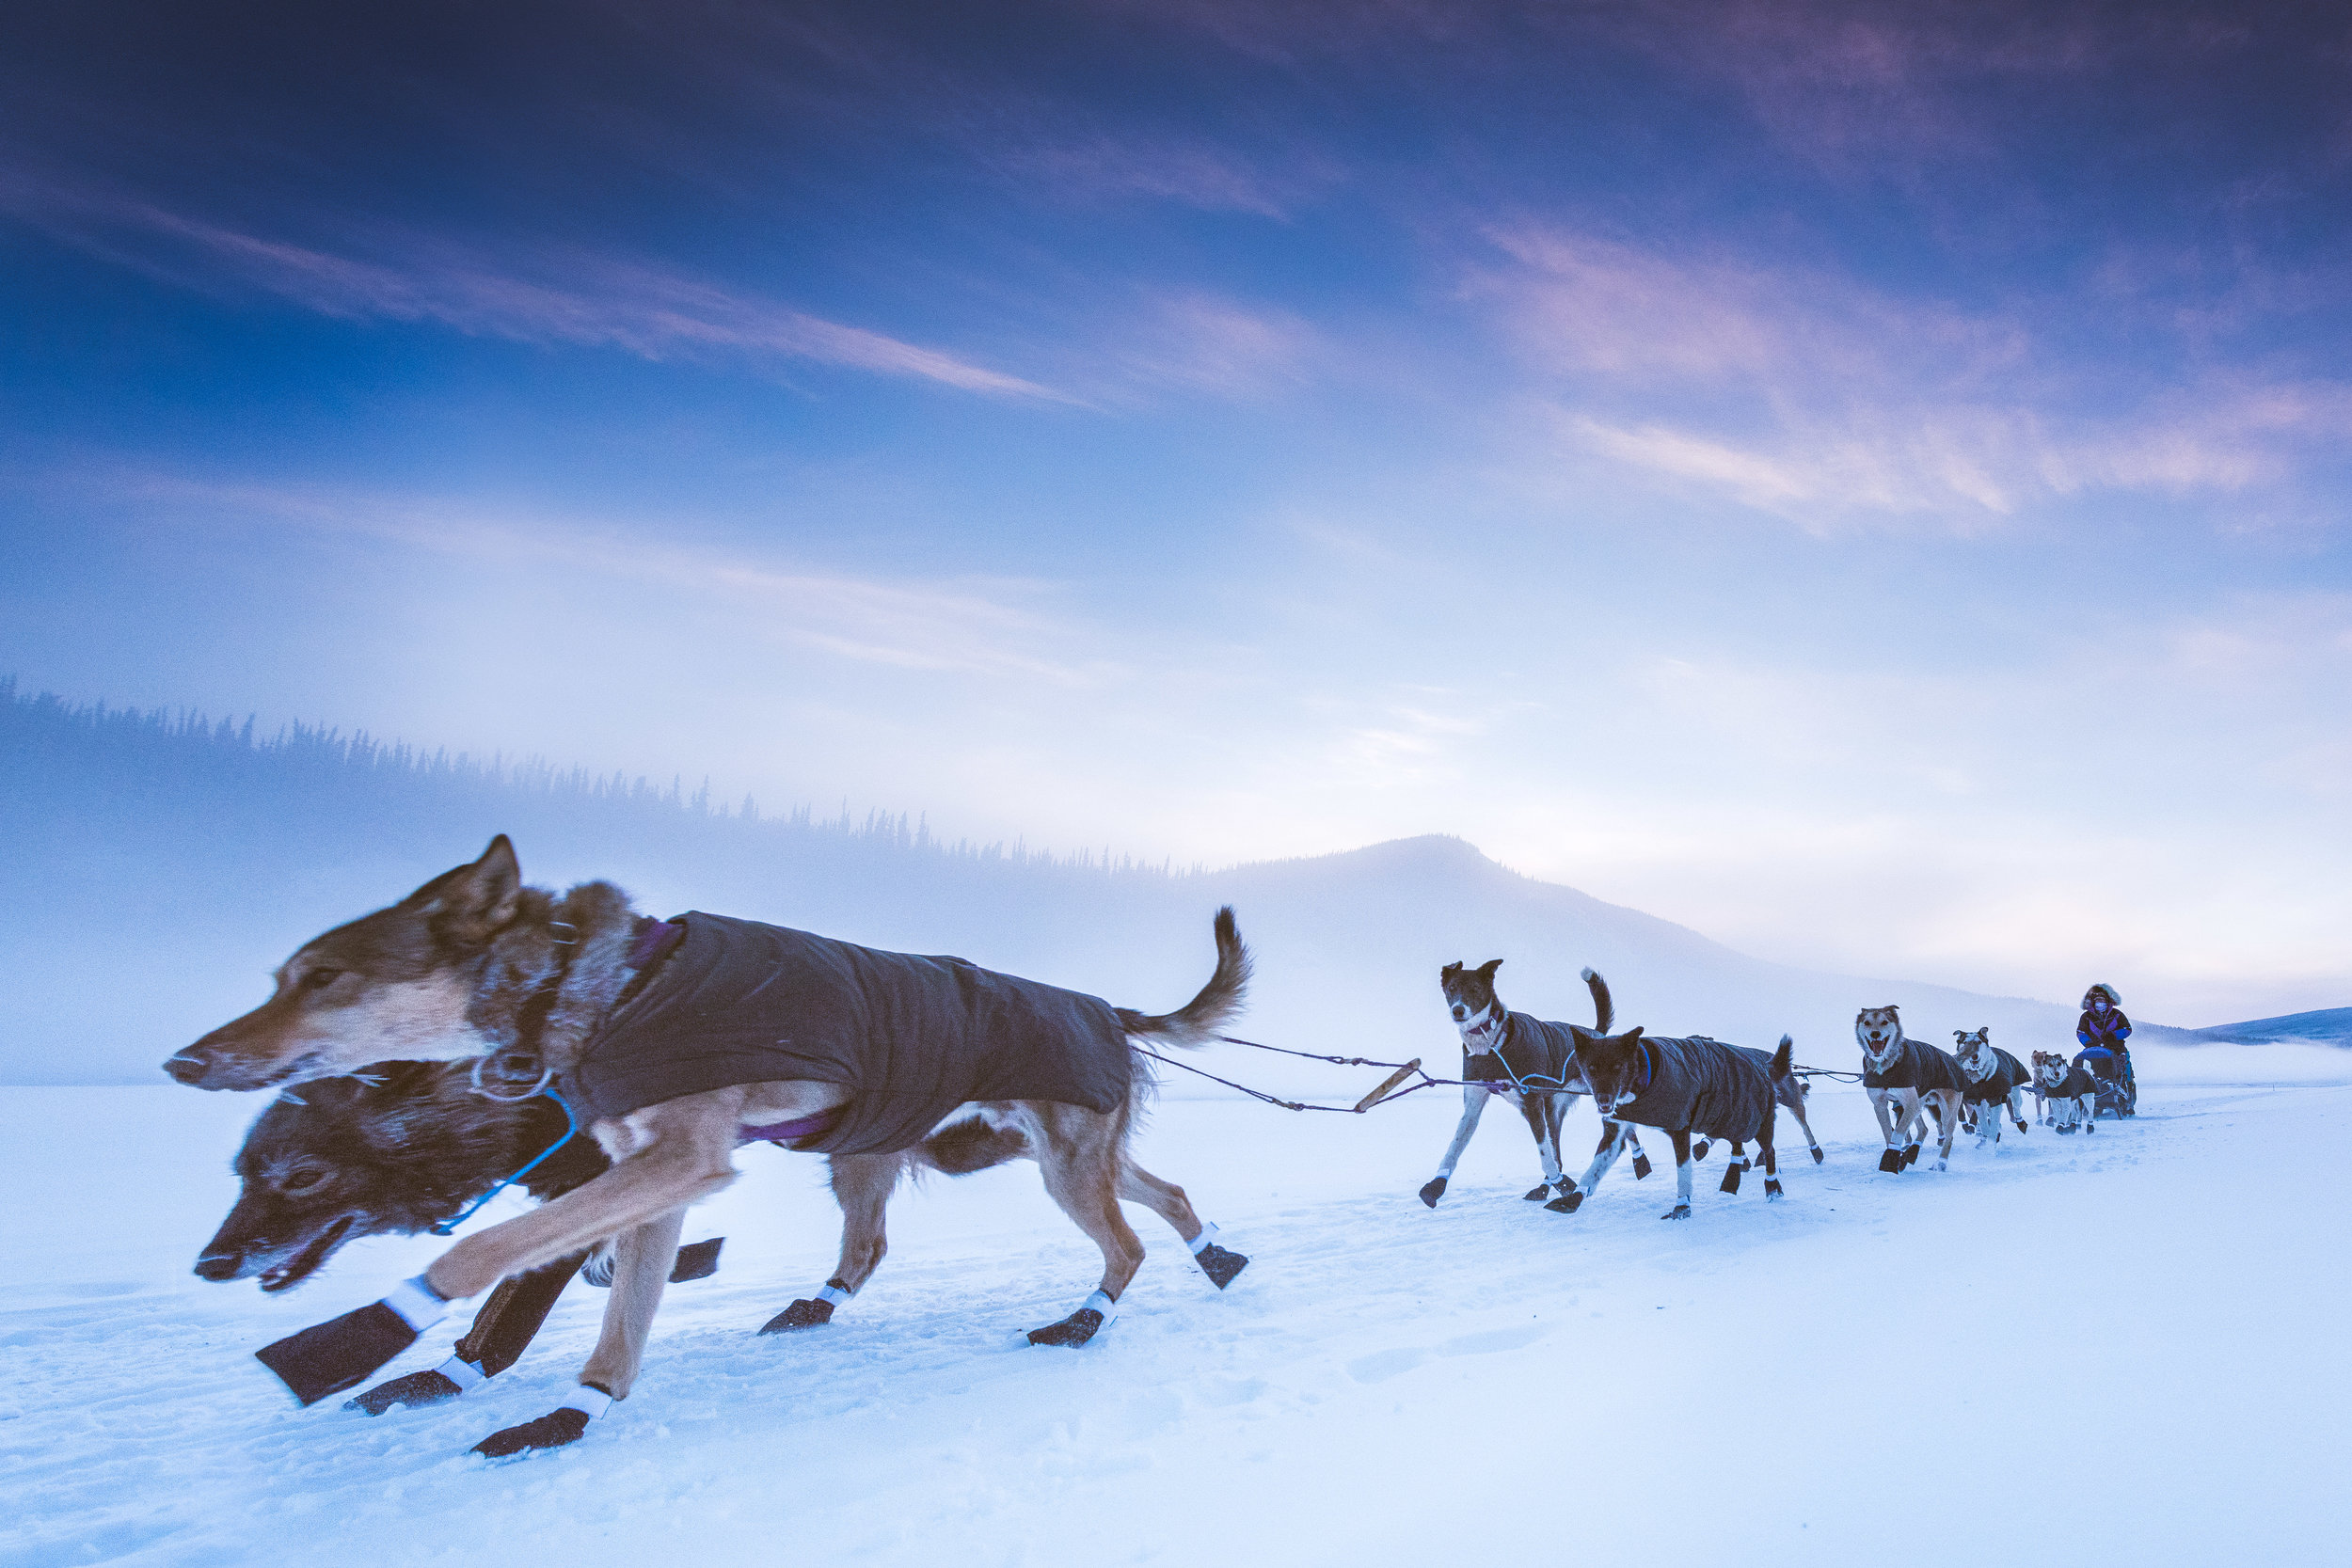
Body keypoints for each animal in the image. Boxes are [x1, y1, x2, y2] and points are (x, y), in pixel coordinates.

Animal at [193, 1062, 1021, 1419]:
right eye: (242, 1172)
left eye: (303, 1175)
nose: (211, 1261)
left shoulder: (596, 1185)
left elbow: (509, 1313)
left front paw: (437, 1372)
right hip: (867, 1152)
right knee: (870, 1244)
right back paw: (813, 1307)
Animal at [1411, 963, 1656, 1212]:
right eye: (1452, 988)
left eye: (1475, 988)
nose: (1458, 1010)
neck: (1491, 1044)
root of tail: (1596, 1034)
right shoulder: (1473, 1103)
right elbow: (1454, 1147)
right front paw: (1436, 1185)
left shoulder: (1531, 1103)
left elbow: (1545, 1154)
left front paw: (1562, 1183)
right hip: (1555, 1109)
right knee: (1559, 1150)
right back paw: (1545, 1188)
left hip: (1589, 1095)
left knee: (1621, 1130)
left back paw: (1640, 1160)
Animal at [1853, 1010, 1966, 1170]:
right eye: (1867, 1022)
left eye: (1885, 1022)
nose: (1875, 1034)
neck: (1887, 1067)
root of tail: (1955, 1060)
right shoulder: (1881, 1105)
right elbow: (1888, 1132)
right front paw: (1894, 1156)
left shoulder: (1909, 1104)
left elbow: (1898, 1131)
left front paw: (1892, 1158)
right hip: (1917, 1104)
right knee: (1924, 1129)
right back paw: (1912, 1153)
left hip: (1946, 1111)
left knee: (1948, 1136)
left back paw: (1941, 1162)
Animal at [1957, 1029, 2032, 1151]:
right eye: (1965, 1042)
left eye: (1979, 1042)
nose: (1974, 1055)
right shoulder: (1977, 1100)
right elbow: (1983, 1122)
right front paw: (1987, 1137)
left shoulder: (1995, 1099)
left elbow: (1993, 1121)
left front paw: (1992, 1141)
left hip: (2015, 1089)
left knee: (2016, 1106)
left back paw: (2021, 1123)